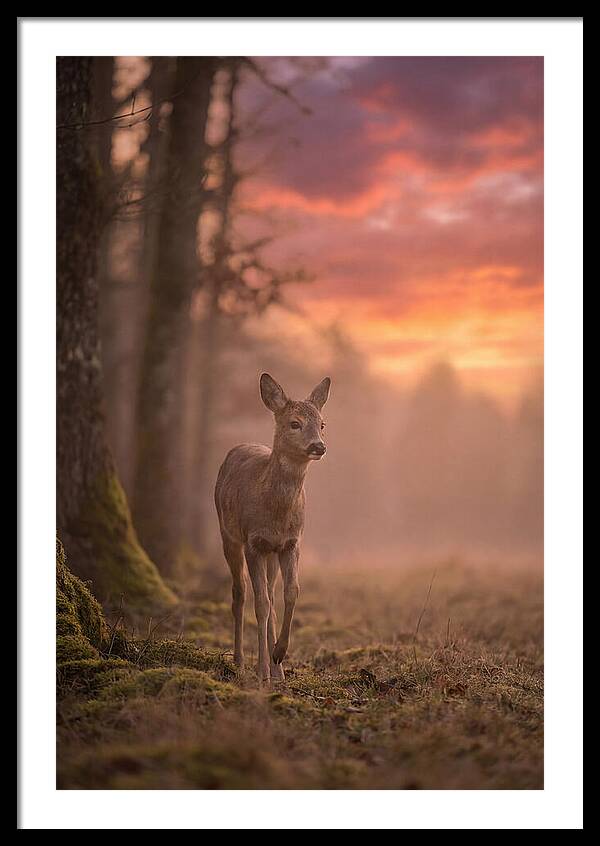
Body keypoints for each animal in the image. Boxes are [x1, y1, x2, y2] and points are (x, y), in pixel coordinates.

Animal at [214, 372, 331, 684]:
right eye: (295, 423)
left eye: (322, 424)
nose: (318, 446)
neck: (276, 514)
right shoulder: (254, 542)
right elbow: (261, 604)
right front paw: (262, 671)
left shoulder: (291, 543)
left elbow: (291, 593)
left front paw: (279, 654)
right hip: (228, 535)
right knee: (240, 593)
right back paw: (241, 661)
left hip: (271, 554)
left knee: (269, 592)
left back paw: (277, 669)